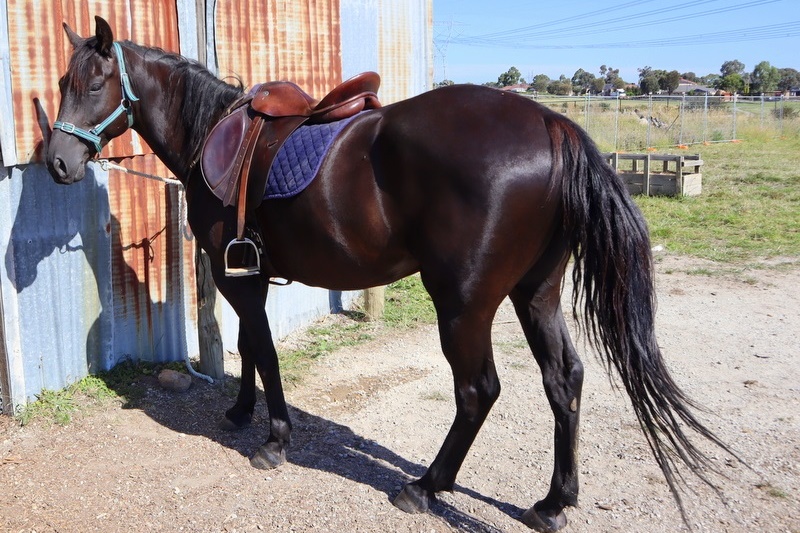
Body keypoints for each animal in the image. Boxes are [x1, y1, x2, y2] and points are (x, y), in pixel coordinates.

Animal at [42, 15, 732, 528]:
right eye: (62, 81)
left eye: (95, 85)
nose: (57, 162)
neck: (214, 132)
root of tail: (550, 123)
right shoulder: (244, 276)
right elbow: (249, 348)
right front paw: (240, 414)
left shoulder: (239, 275)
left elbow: (263, 350)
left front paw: (274, 439)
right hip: (535, 293)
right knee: (563, 380)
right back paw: (553, 502)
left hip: (463, 304)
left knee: (478, 390)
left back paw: (425, 487)